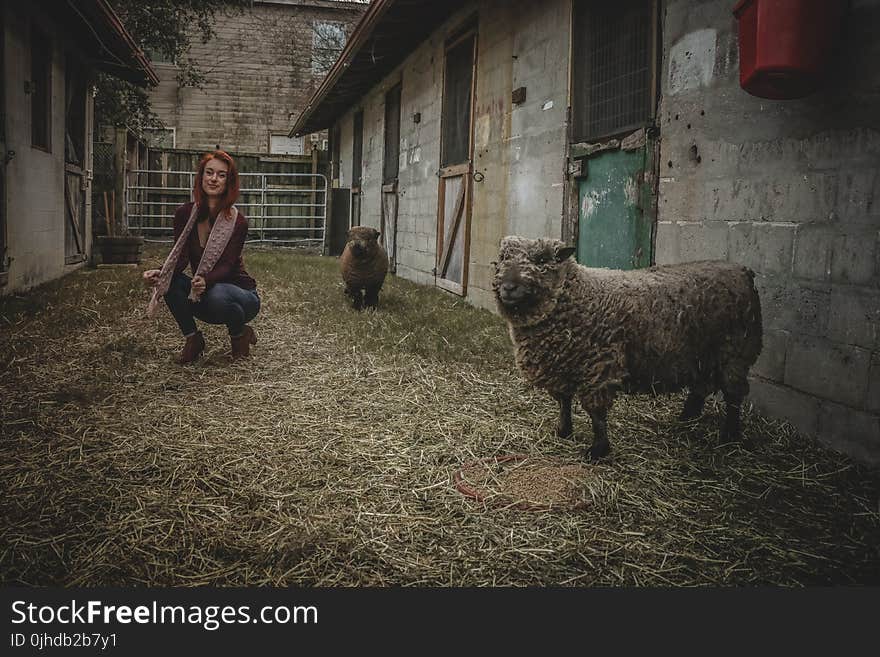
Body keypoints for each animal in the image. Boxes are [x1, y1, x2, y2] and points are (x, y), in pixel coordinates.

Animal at [496, 237, 764, 462]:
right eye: (502, 258)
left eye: (542, 260)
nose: (508, 287)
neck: (578, 293)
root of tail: (743, 270)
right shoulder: (560, 366)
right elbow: (564, 402)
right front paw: (563, 431)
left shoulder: (598, 367)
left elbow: (596, 415)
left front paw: (598, 450)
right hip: (702, 354)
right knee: (701, 387)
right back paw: (686, 417)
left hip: (735, 351)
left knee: (733, 395)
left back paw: (729, 435)